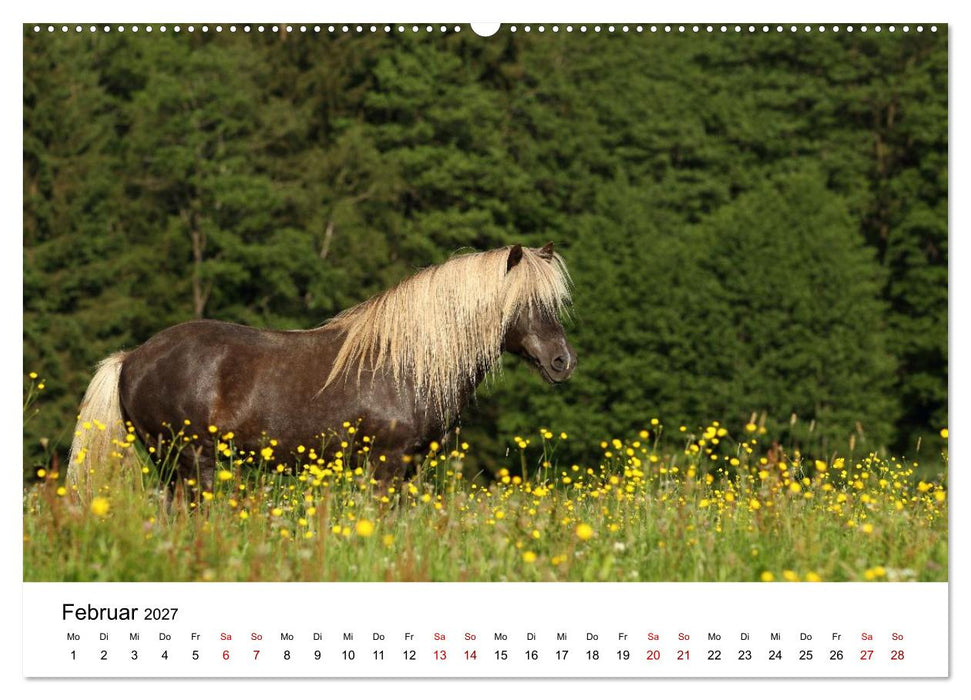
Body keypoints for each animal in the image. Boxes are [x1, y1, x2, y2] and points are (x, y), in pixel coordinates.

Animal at [66, 243, 576, 496]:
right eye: (523, 303)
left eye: (553, 301)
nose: (562, 361)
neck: (406, 364)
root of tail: (131, 357)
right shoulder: (386, 464)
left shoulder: (408, 468)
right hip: (192, 461)